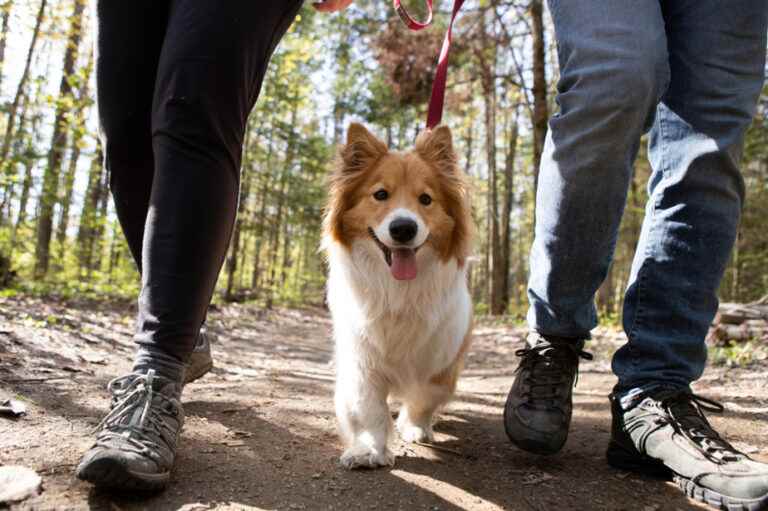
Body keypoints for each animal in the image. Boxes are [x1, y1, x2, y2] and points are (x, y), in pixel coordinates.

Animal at [320, 123, 474, 468]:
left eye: (426, 199)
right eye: (380, 194)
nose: (403, 228)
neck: (398, 290)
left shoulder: (442, 356)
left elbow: (425, 395)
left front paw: (414, 426)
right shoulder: (361, 356)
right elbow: (367, 407)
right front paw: (368, 449)